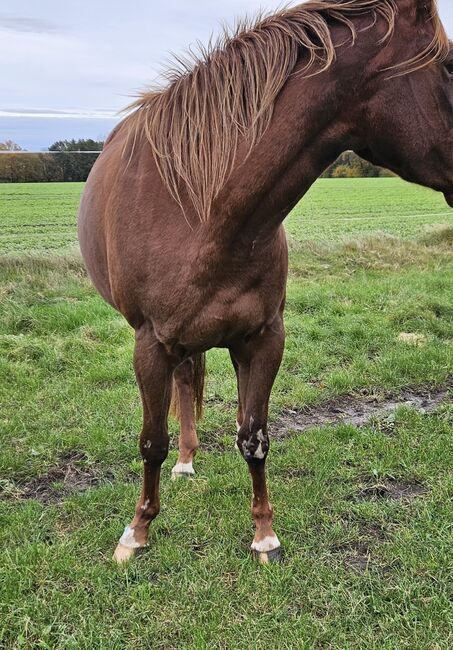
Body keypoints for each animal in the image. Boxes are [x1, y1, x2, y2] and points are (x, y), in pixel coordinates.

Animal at [76, 0, 450, 560]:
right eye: (449, 68)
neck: (201, 212)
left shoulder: (263, 339)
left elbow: (253, 437)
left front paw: (264, 534)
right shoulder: (150, 344)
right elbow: (150, 442)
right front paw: (136, 532)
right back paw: (183, 463)